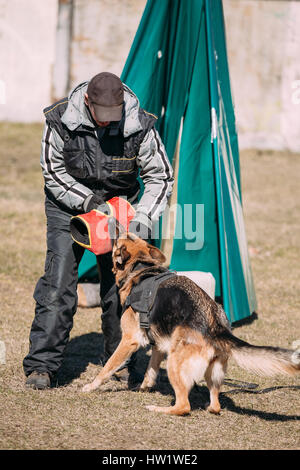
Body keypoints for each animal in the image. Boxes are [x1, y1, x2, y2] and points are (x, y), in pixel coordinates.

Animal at [81, 221, 298, 414]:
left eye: (120, 238)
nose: (114, 221)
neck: (139, 268)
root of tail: (215, 325)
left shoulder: (129, 340)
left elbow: (108, 367)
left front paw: (91, 386)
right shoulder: (158, 344)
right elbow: (151, 369)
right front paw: (144, 386)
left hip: (174, 363)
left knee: (184, 406)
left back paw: (158, 409)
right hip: (211, 372)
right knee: (215, 406)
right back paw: (207, 406)